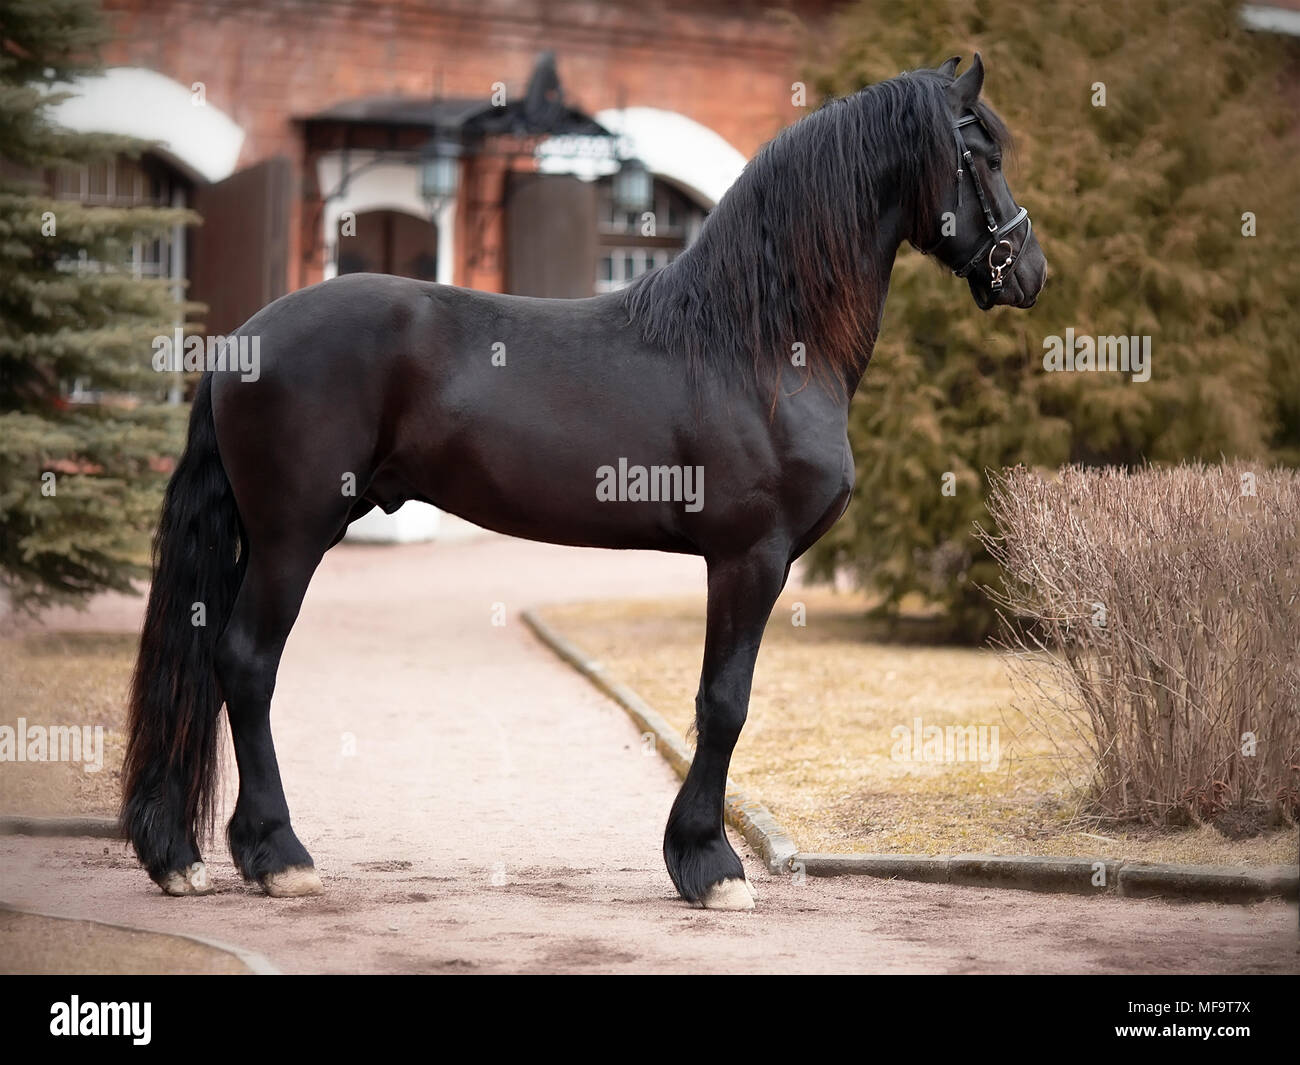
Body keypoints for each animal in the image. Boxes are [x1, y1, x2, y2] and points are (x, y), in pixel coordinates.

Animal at [122, 54, 1046, 910]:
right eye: (983, 153)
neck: (758, 345)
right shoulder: (750, 557)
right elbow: (725, 702)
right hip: (291, 537)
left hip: (261, 539)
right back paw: (280, 855)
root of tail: (243, 339)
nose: (1030, 270)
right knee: (246, 663)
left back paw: (192, 854)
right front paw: (710, 865)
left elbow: (722, 702)